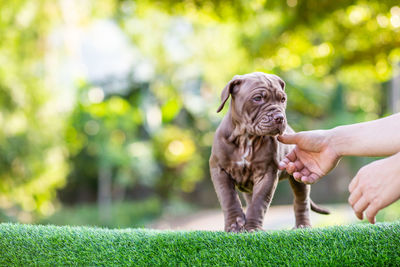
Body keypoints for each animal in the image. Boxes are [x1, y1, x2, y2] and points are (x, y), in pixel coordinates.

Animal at [209, 71, 328, 232]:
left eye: (283, 99)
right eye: (257, 98)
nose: (280, 117)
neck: (246, 138)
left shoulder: (267, 173)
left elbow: (259, 202)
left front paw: (253, 227)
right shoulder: (219, 170)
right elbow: (229, 198)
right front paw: (235, 224)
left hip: (298, 179)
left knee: (301, 200)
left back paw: (303, 225)